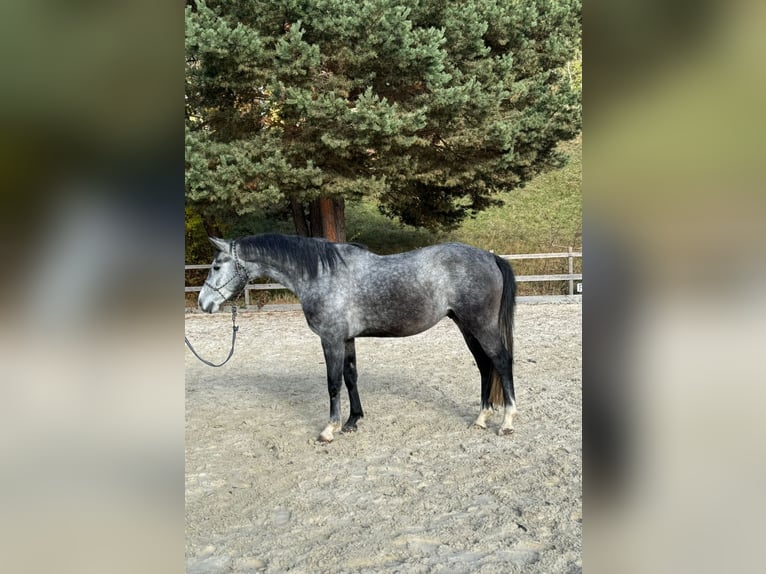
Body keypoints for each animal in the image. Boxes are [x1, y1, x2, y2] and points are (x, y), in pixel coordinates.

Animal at [198, 233, 517, 442]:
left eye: (216, 266)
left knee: (501, 361)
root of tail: (490, 256)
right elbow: (350, 377)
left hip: (481, 325)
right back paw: (481, 418)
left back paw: (507, 422)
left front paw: (330, 429)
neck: (321, 274)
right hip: (466, 326)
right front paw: (353, 420)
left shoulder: (330, 339)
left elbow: (333, 383)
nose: (203, 303)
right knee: (484, 365)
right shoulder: (347, 339)